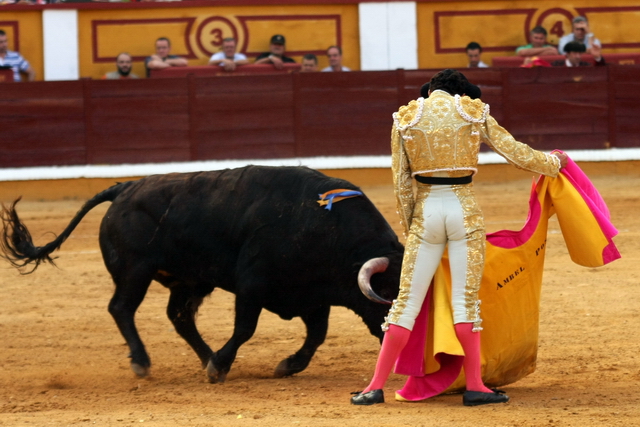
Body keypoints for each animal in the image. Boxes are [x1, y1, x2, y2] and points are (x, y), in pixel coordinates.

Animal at [1, 166, 400, 382]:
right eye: (392, 294)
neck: (329, 228)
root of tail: (126, 187)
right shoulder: (252, 285)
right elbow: (245, 328)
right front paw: (220, 366)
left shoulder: (313, 296)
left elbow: (316, 336)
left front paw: (286, 365)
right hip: (135, 271)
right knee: (121, 308)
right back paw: (143, 362)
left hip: (188, 281)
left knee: (178, 316)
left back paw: (206, 356)